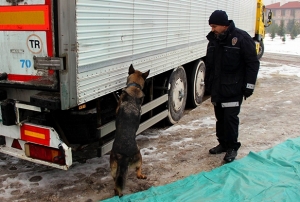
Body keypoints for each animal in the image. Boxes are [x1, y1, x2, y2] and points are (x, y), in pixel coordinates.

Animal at [110, 64, 150, 196]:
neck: (134, 86)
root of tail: (124, 155)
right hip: (138, 156)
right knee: (137, 171)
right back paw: (141, 175)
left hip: (115, 165)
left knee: (118, 179)